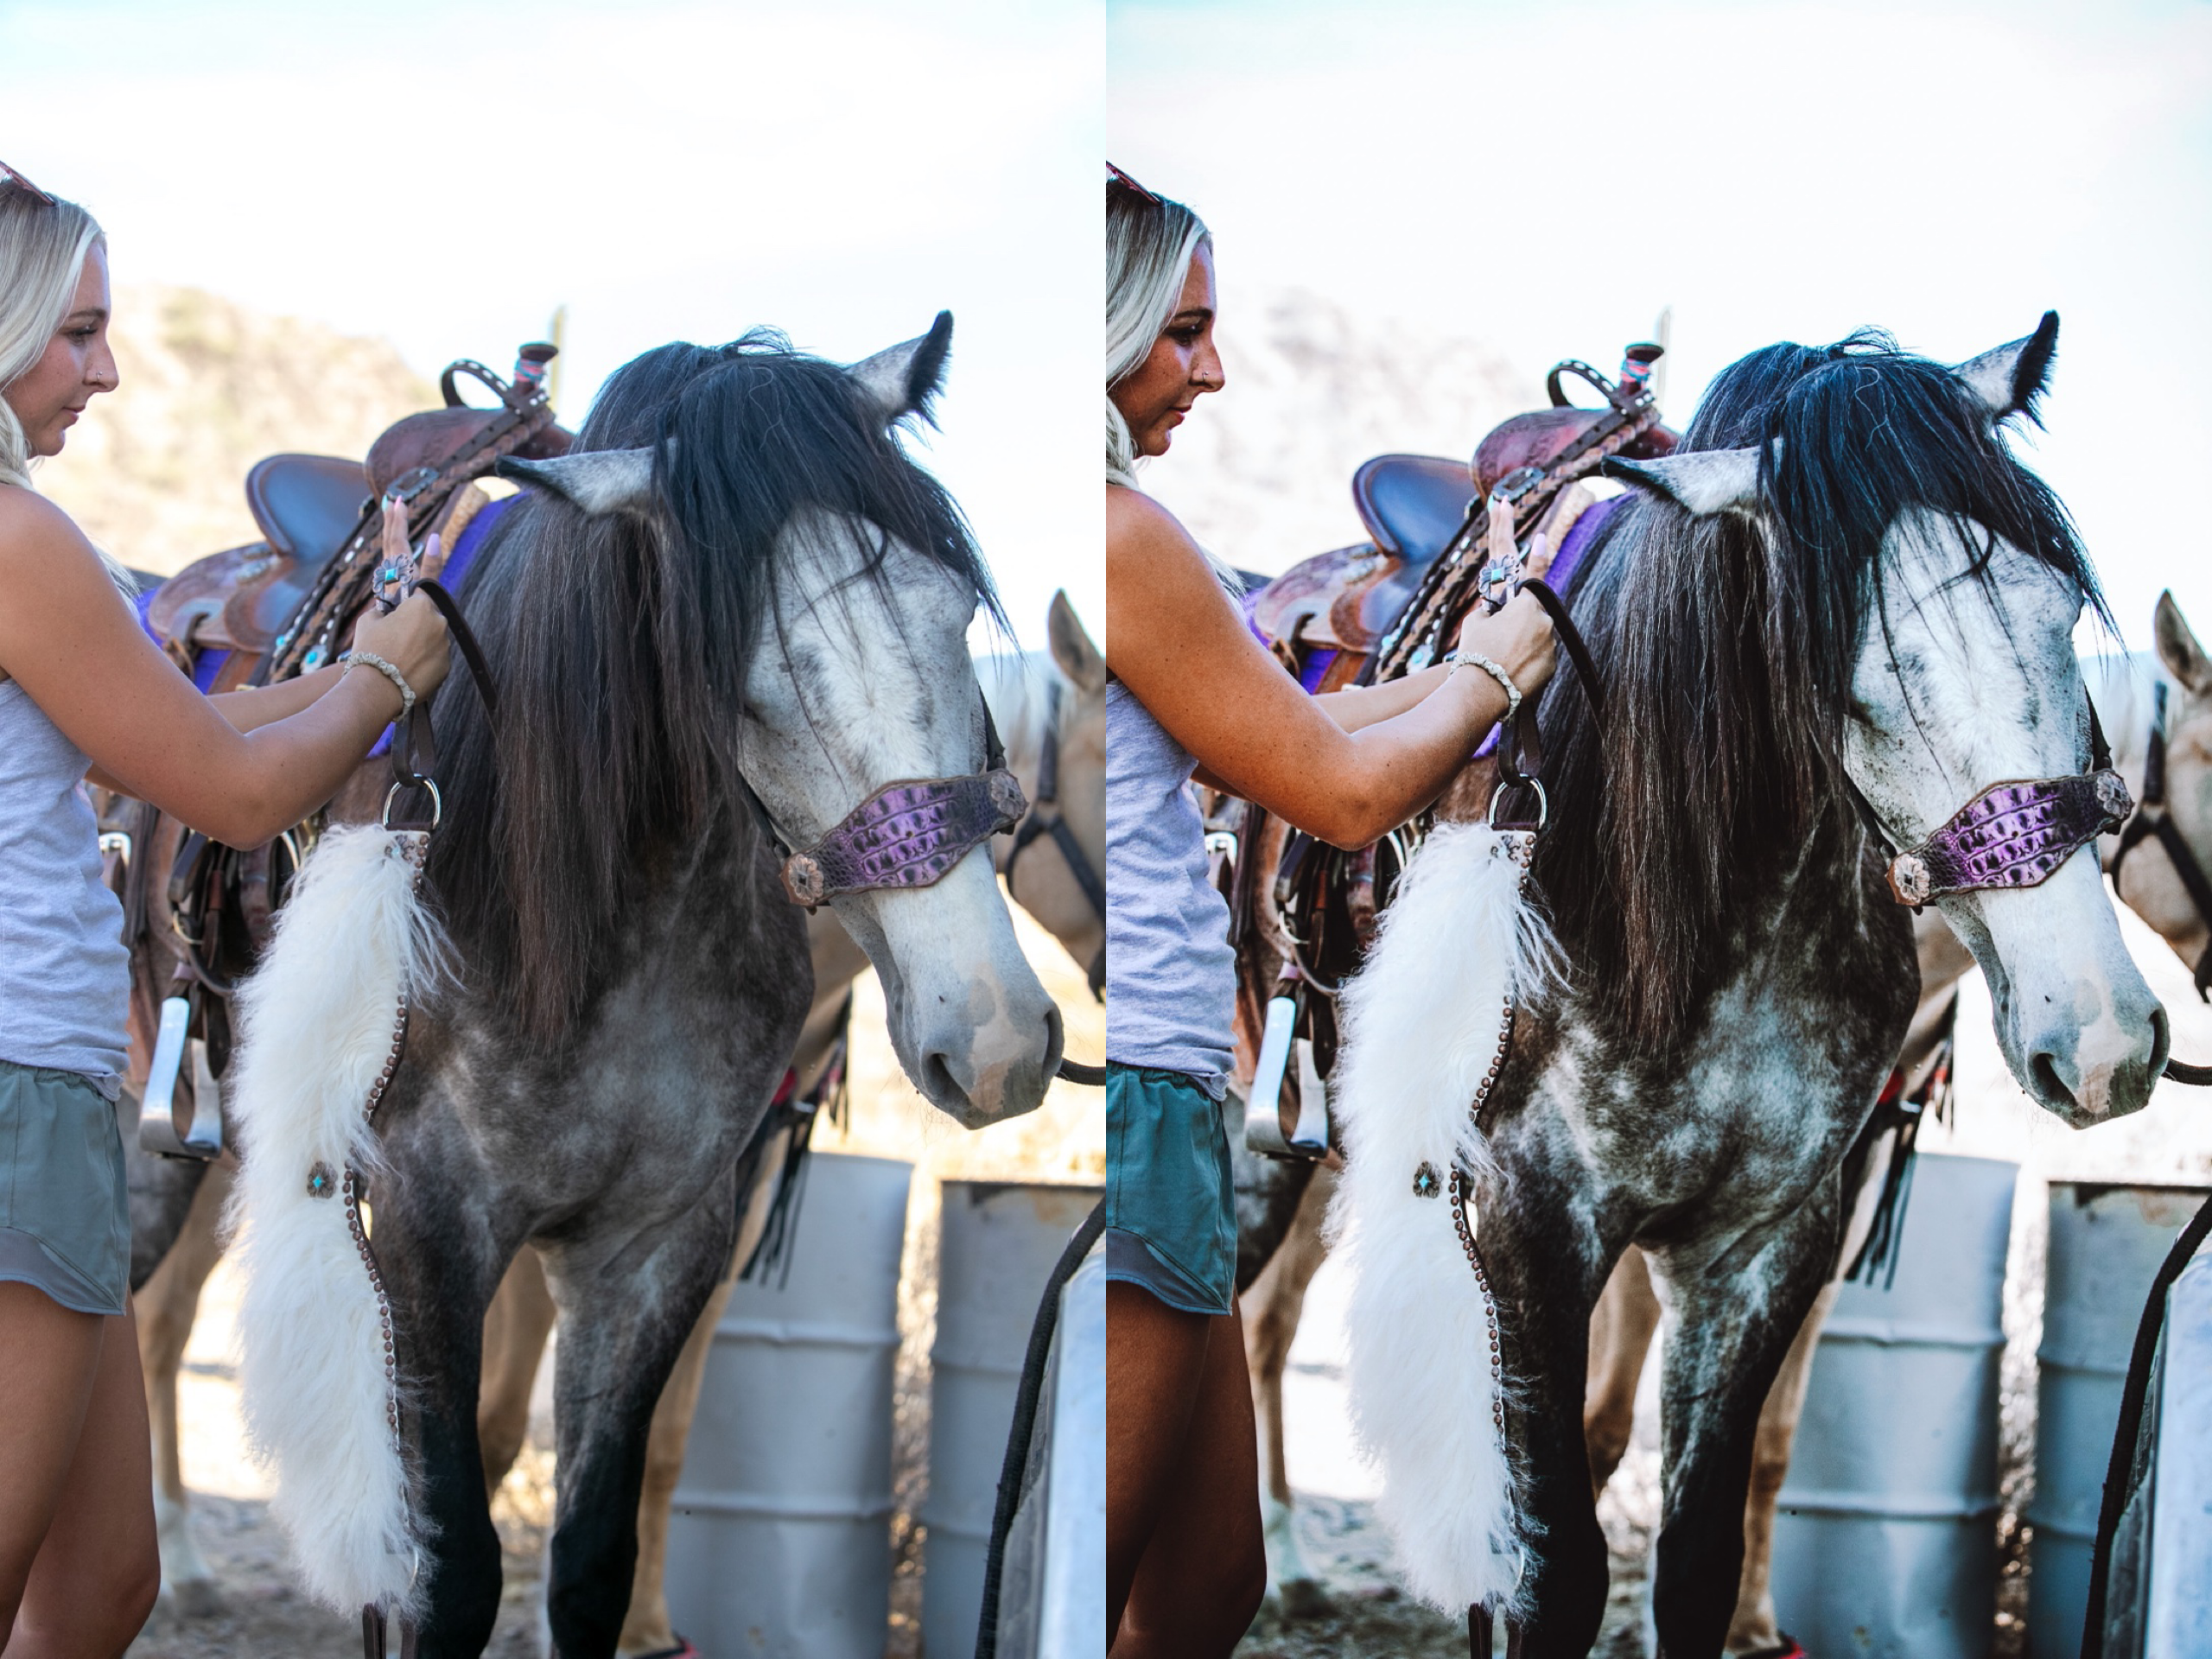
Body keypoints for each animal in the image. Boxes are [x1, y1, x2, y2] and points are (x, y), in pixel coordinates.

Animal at [196, 317, 1069, 1658]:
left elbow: (595, 1555)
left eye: (956, 609)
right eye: (736, 680)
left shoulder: (657, 1248)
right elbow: (454, 1569)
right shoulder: (426, 1222)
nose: (995, 1036)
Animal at [1247, 316, 2167, 1654]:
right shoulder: (1528, 1229)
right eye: (1849, 675)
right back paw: (1272, 1560)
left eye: (2060, 614)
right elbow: (1556, 1572)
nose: (2100, 1037)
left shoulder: (1761, 1252)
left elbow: (1695, 1560)